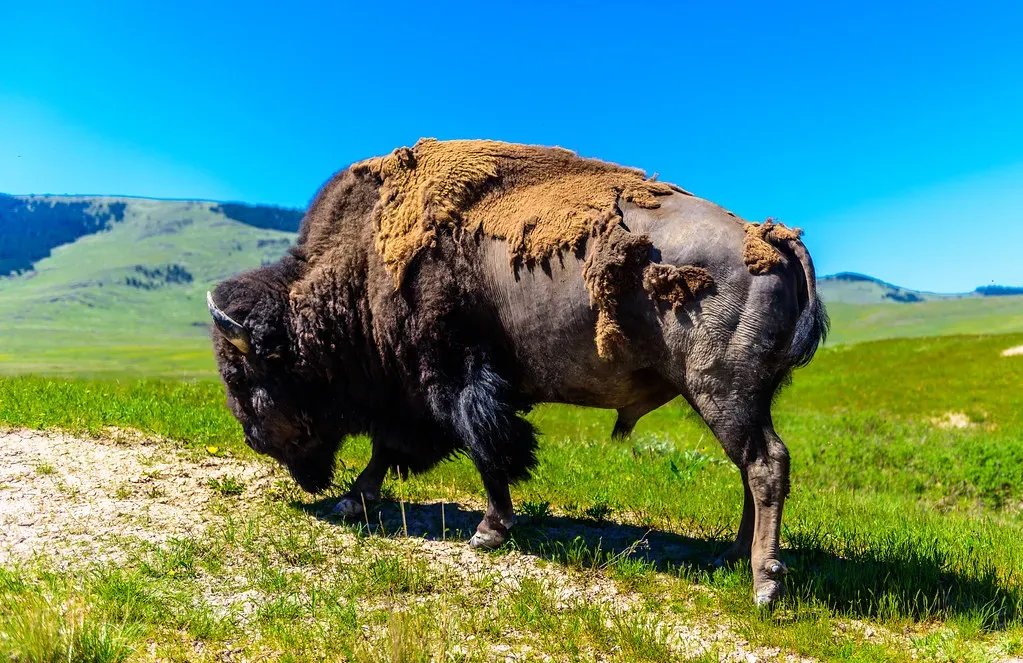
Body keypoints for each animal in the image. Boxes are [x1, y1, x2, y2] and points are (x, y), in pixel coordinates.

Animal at [207, 139, 828, 605]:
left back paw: (763, 584)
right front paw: (354, 499)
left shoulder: (453, 380)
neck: (361, 268)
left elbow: (487, 450)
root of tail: (773, 238)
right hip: (740, 400)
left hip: (722, 392)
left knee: (766, 465)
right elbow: (393, 449)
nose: (252, 439)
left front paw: (488, 532)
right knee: (751, 468)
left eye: (244, 376)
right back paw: (731, 556)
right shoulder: (418, 394)